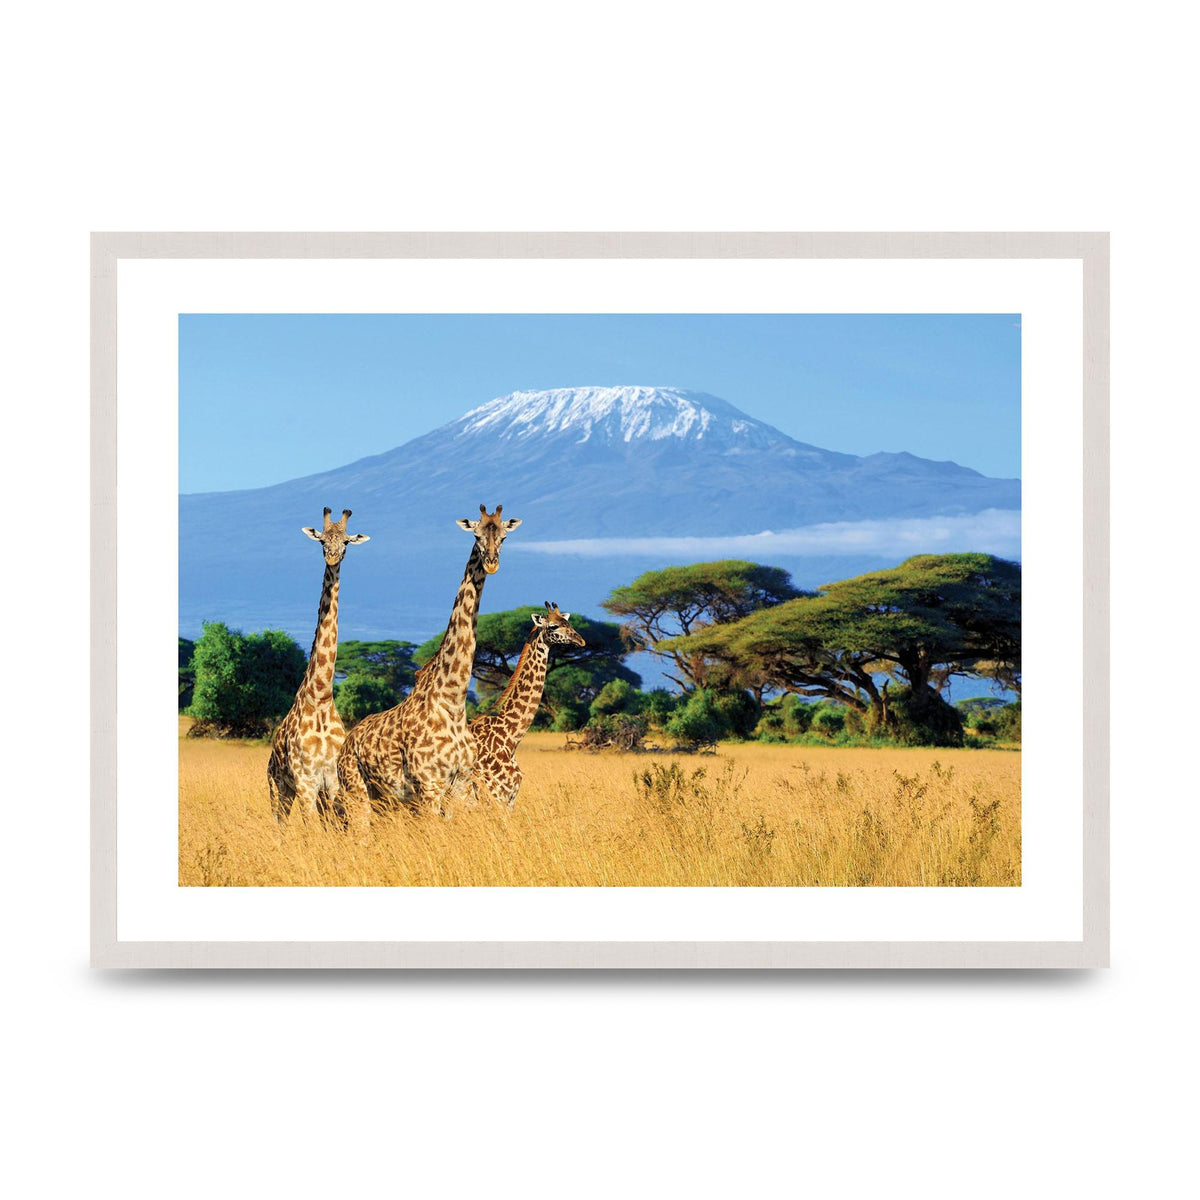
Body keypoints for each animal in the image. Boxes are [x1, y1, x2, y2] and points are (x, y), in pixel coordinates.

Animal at [266, 507, 369, 823]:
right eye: (322, 540)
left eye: (346, 541)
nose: (332, 557)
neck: (321, 697)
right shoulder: (305, 782)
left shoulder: (332, 782)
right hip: (278, 788)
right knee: (279, 824)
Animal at [336, 504, 521, 829]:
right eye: (476, 535)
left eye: (504, 536)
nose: (491, 563)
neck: (453, 701)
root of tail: (346, 744)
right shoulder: (429, 786)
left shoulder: (460, 785)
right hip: (356, 790)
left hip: (384, 799)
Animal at [470, 602, 585, 810]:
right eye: (553, 626)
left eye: (567, 622)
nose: (581, 641)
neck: (510, 737)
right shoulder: (496, 795)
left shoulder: (509, 798)